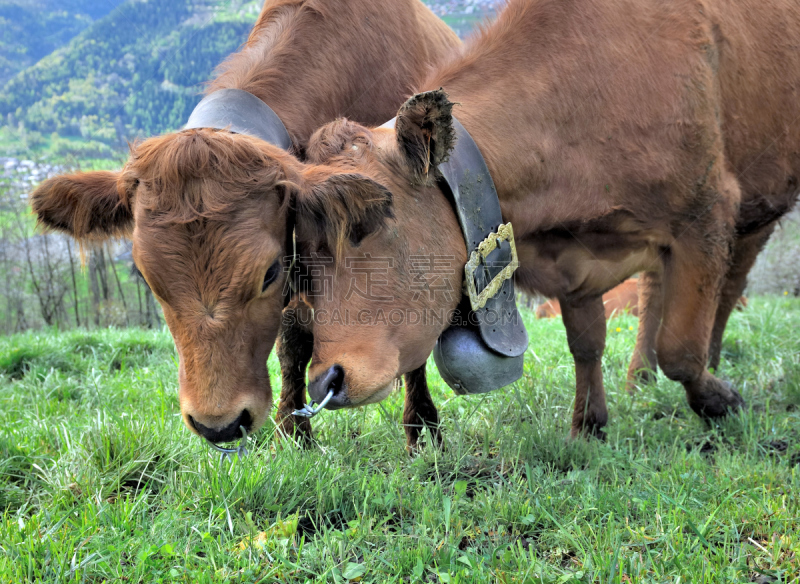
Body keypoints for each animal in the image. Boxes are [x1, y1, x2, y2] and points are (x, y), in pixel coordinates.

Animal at [29, 0, 462, 448]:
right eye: (146, 278)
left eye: (269, 272)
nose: (217, 424)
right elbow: (292, 342)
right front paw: (294, 432)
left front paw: (422, 430)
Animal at [282, 0, 800, 438]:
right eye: (302, 253)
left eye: (373, 224)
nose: (326, 379)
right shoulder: (573, 261)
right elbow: (587, 343)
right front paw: (589, 427)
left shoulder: (706, 213)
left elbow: (681, 349)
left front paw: (719, 400)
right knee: (659, 290)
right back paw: (640, 377)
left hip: (756, 206)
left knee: (727, 290)